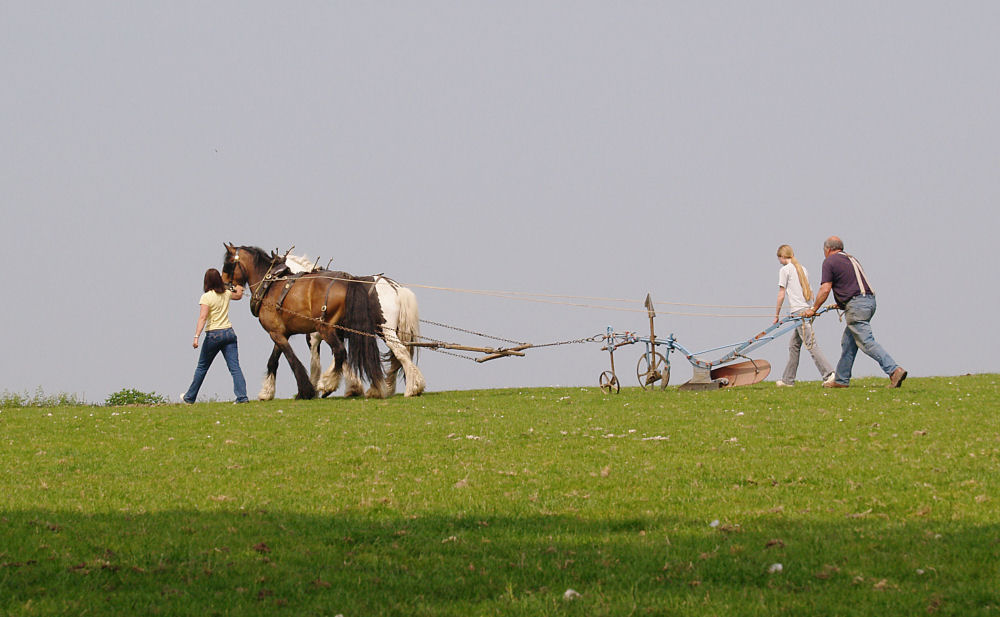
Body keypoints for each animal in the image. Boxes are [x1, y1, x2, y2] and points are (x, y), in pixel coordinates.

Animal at [223, 243, 386, 402]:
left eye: (228, 262)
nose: (224, 284)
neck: (269, 285)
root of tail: (349, 281)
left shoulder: (276, 333)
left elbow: (292, 360)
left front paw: (305, 391)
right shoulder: (281, 333)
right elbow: (273, 361)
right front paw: (267, 392)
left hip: (325, 328)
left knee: (340, 352)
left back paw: (328, 384)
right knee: (363, 355)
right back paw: (374, 388)